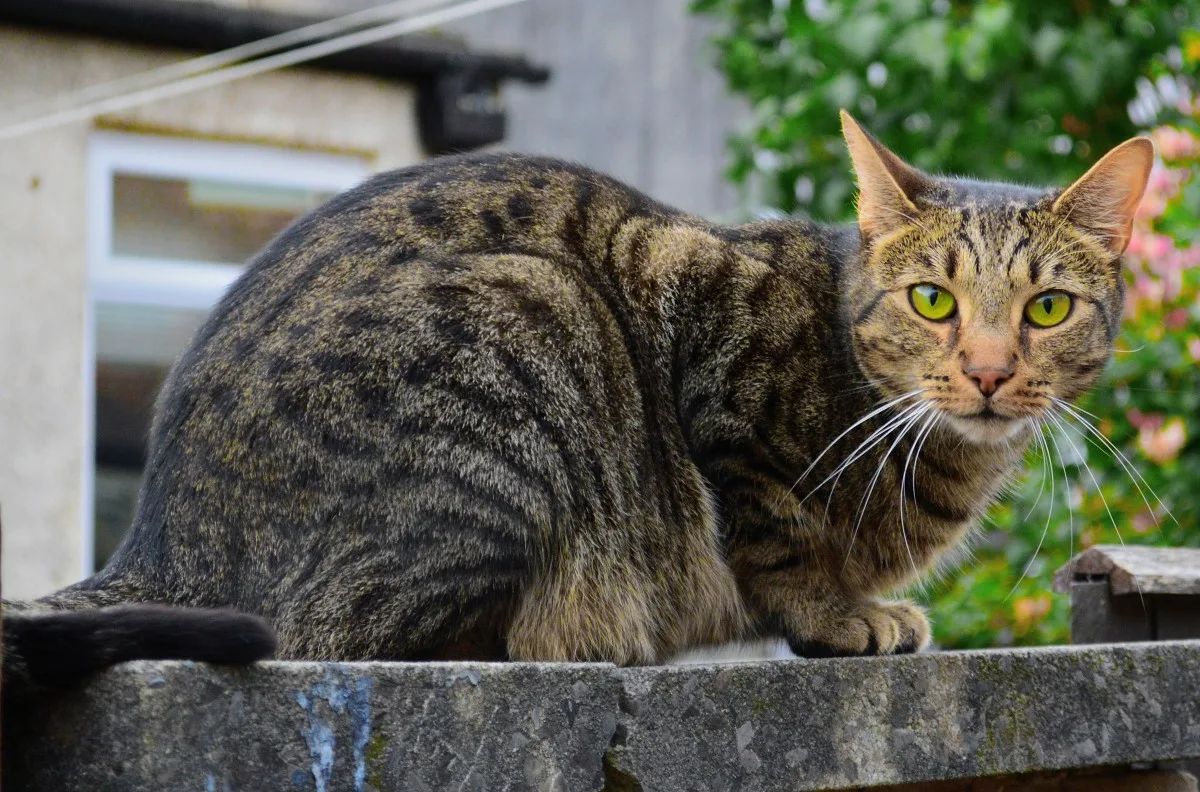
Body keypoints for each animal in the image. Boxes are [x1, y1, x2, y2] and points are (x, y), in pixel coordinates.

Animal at [4, 112, 1156, 691]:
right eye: (933, 300)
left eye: (1047, 309)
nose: (992, 371)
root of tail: (159, 542)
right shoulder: (700, 325)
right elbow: (777, 532)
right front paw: (840, 615)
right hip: (536, 316)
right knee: (343, 635)